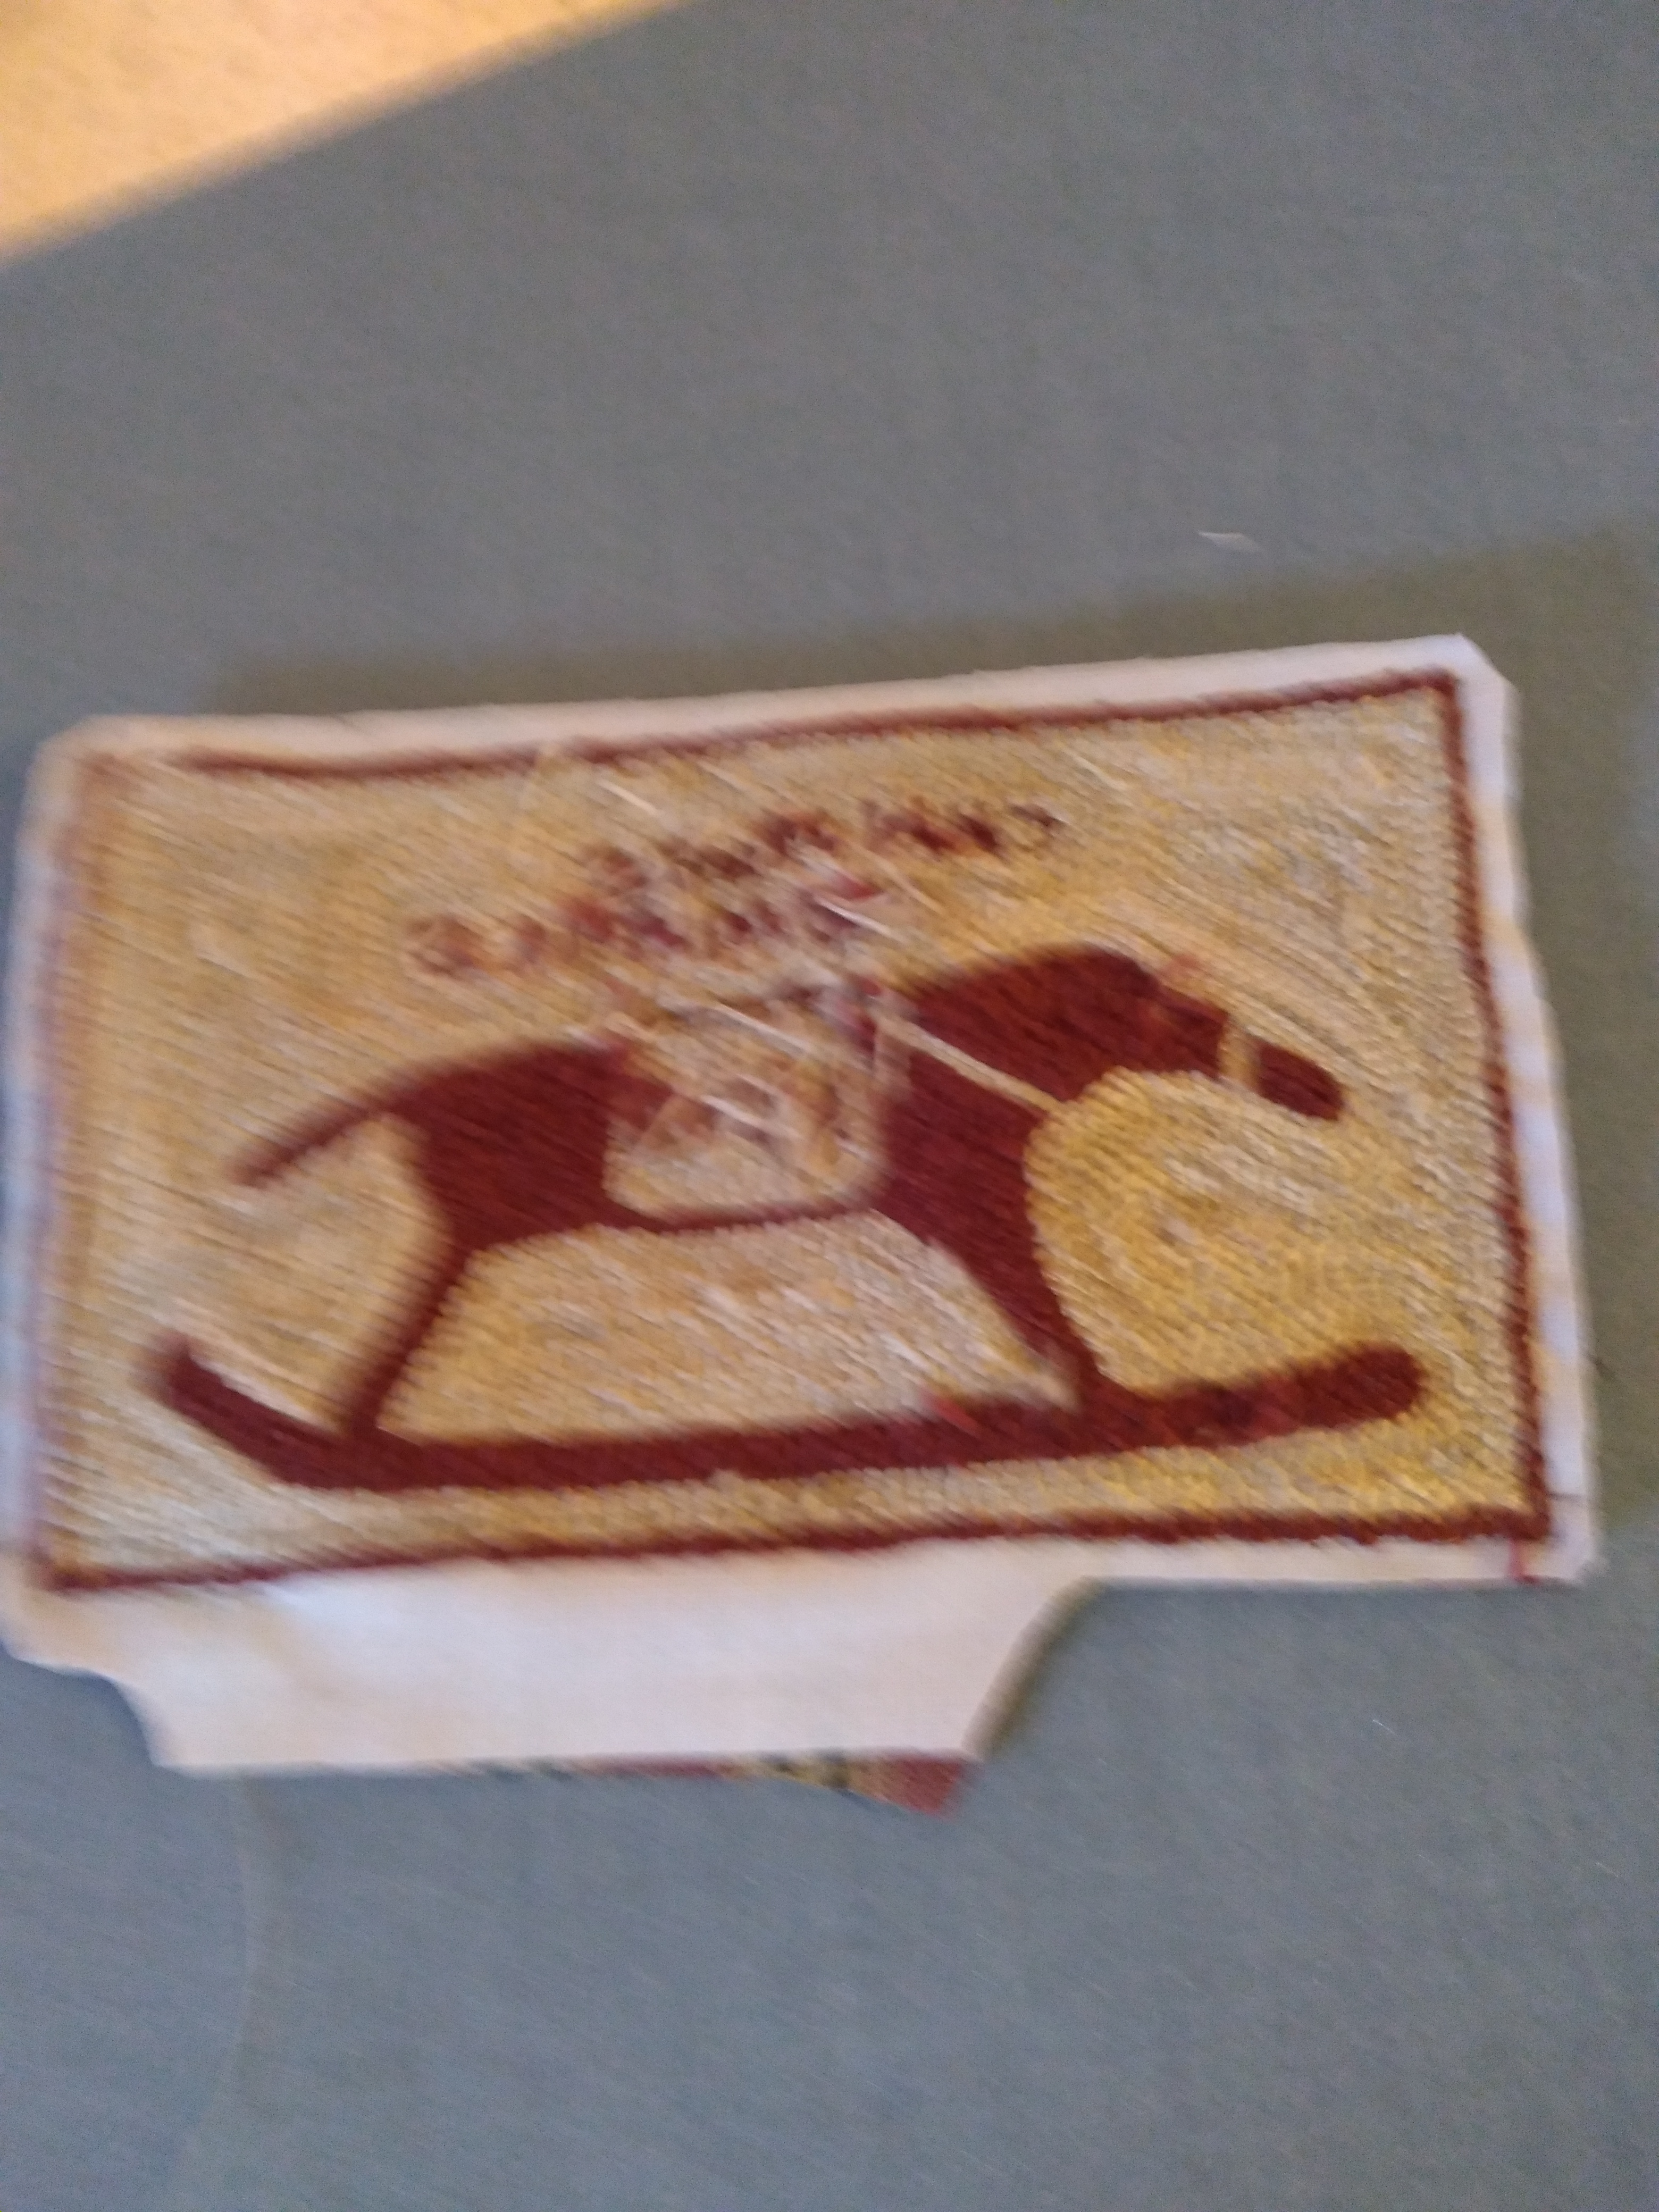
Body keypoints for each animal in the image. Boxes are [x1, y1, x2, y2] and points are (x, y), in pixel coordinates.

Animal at [196, 945, 1419, 1475]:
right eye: (1189, 1014)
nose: (1324, 1089)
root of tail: (413, 1093)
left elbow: (1043, 1321)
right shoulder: (975, 1213)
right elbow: (1054, 1326)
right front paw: (1115, 1403)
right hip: (480, 1225)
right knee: (399, 1329)